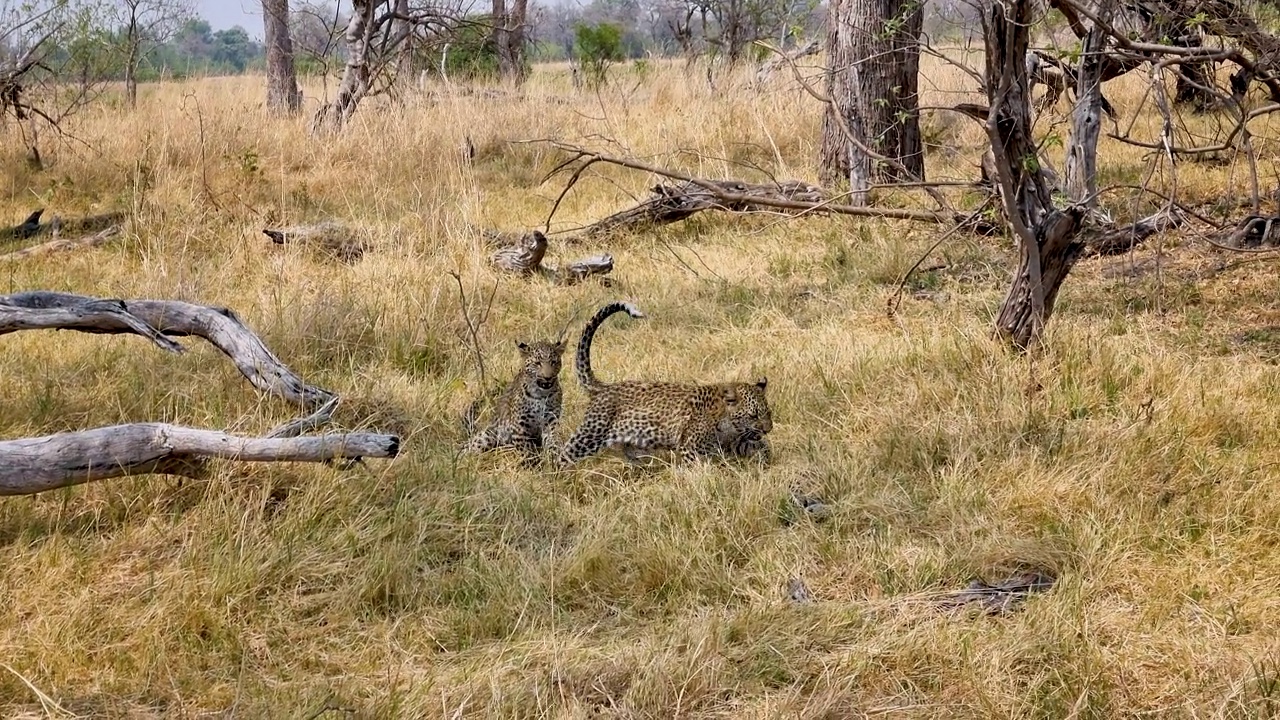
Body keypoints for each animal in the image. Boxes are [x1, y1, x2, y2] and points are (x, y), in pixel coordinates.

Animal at [558, 298, 773, 461]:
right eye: (753, 415)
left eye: (768, 413)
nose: (768, 429)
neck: (726, 420)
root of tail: (603, 387)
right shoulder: (689, 448)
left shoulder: (738, 439)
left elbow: (757, 445)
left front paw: (765, 456)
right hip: (591, 433)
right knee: (563, 454)